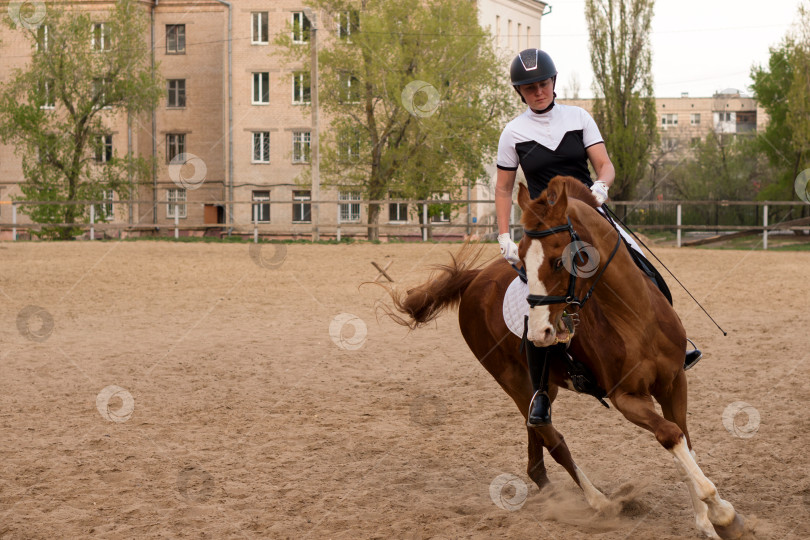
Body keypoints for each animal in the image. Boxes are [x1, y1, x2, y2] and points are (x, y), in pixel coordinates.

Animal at [390, 175, 744, 536]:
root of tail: (476, 279)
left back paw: (550, 492)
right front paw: (723, 513)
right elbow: (670, 435)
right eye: (521, 258)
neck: (635, 317)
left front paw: (705, 520)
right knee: (552, 436)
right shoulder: (627, 398)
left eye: (560, 261)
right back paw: (599, 502)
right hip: (513, 380)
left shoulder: (674, 383)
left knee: (536, 433)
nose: (538, 333)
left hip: (545, 384)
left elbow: (685, 444)